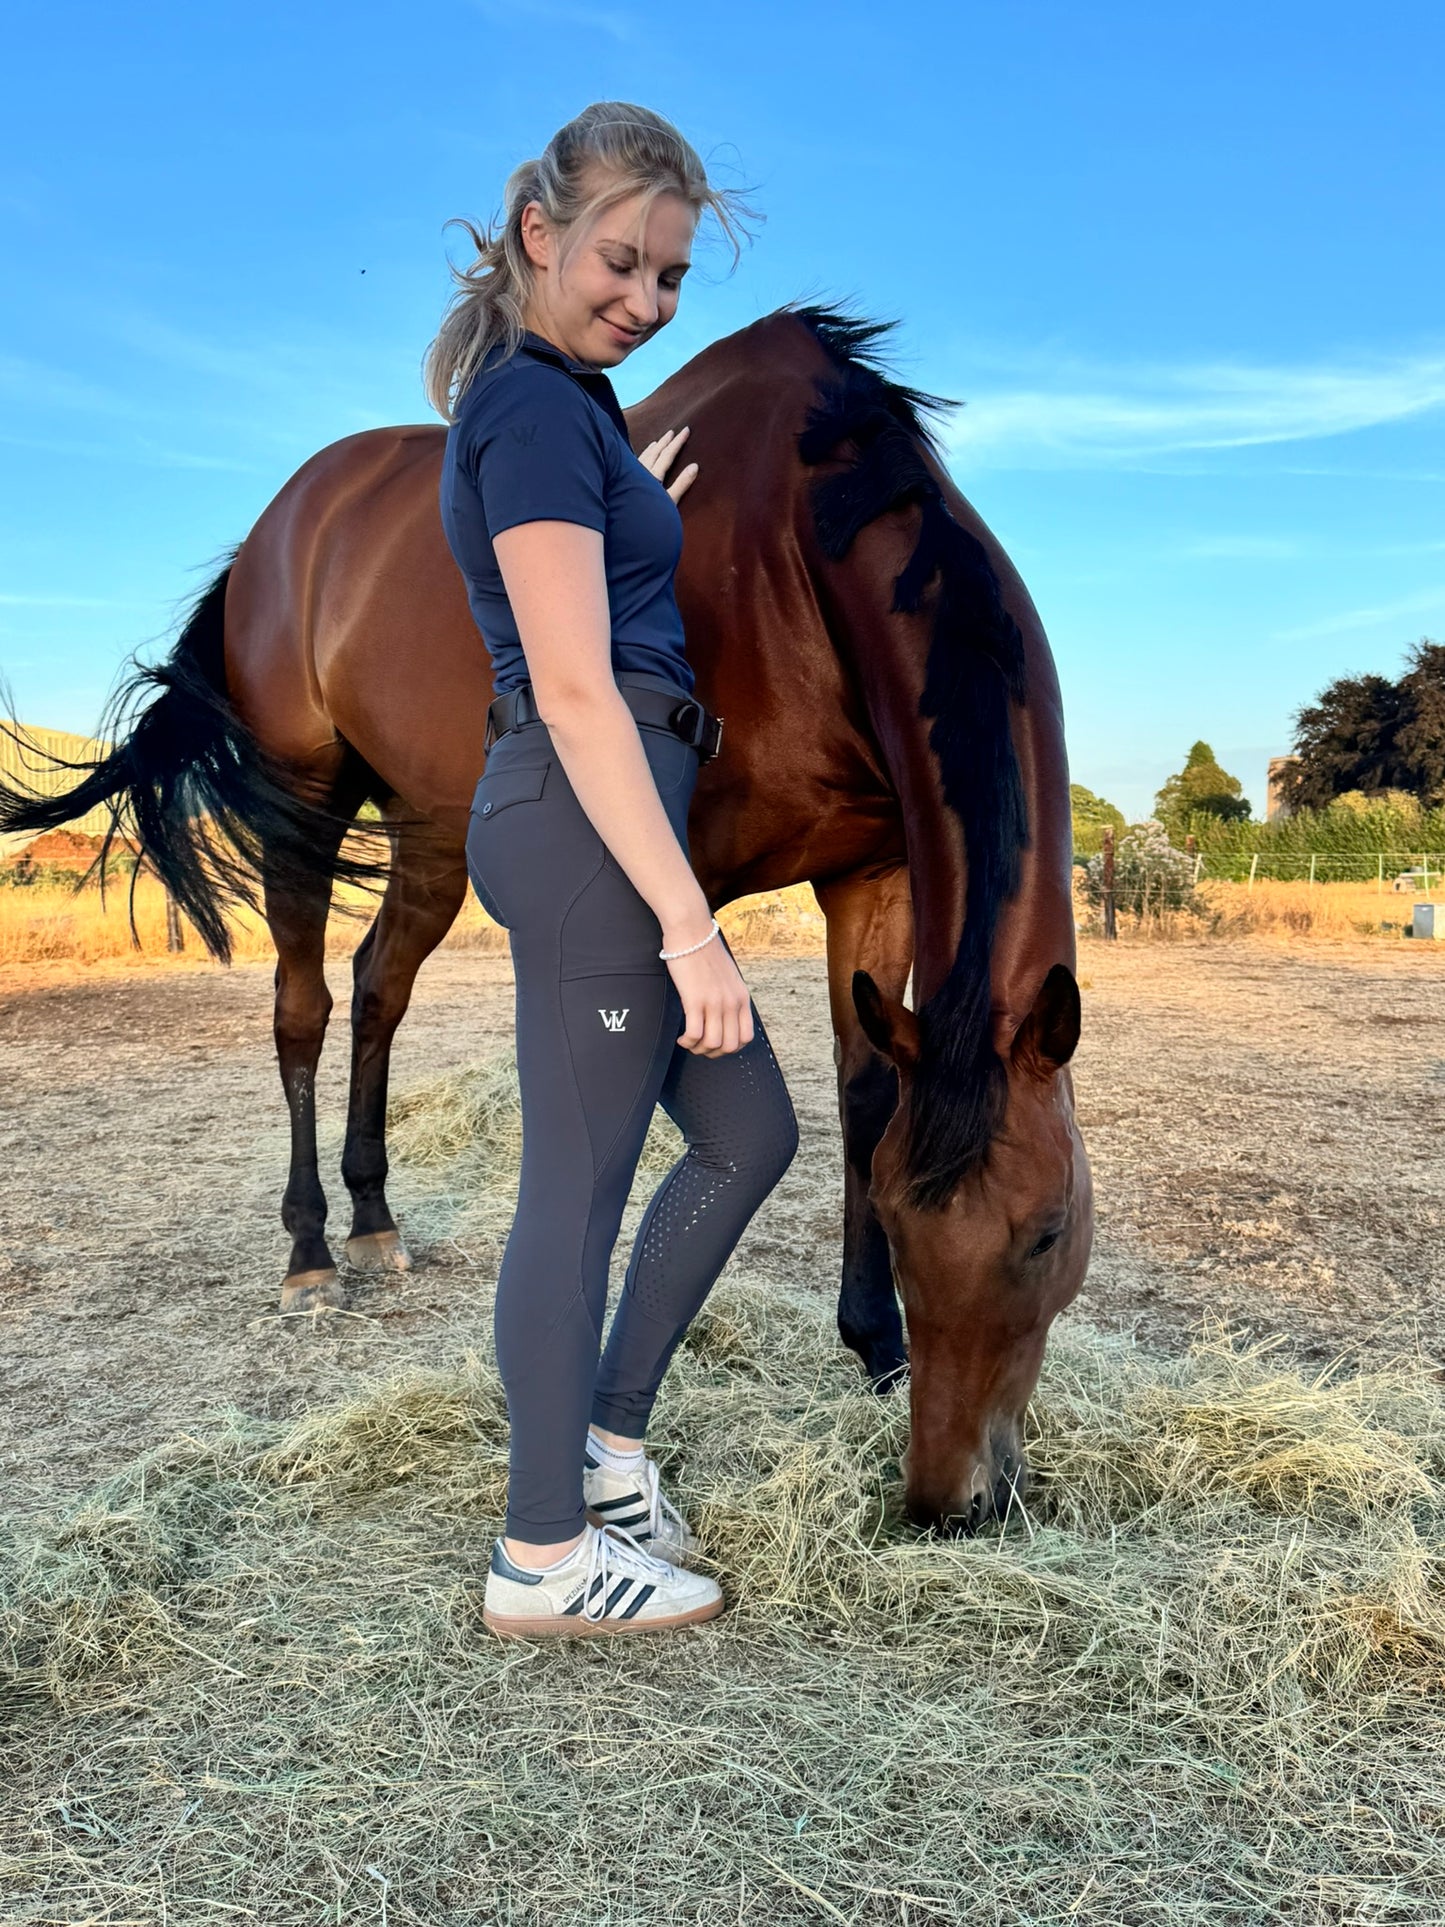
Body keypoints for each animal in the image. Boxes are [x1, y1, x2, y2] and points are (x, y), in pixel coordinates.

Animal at [0, 301, 1093, 1534]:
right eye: (917, 1237)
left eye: (1047, 1232)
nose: (950, 1500)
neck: (798, 551)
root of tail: (277, 526)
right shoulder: (675, 880)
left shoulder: (874, 873)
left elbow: (865, 1092)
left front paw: (872, 1343)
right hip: (305, 804)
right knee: (304, 1008)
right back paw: (312, 1247)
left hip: (431, 830)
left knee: (378, 989)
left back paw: (374, 1221)